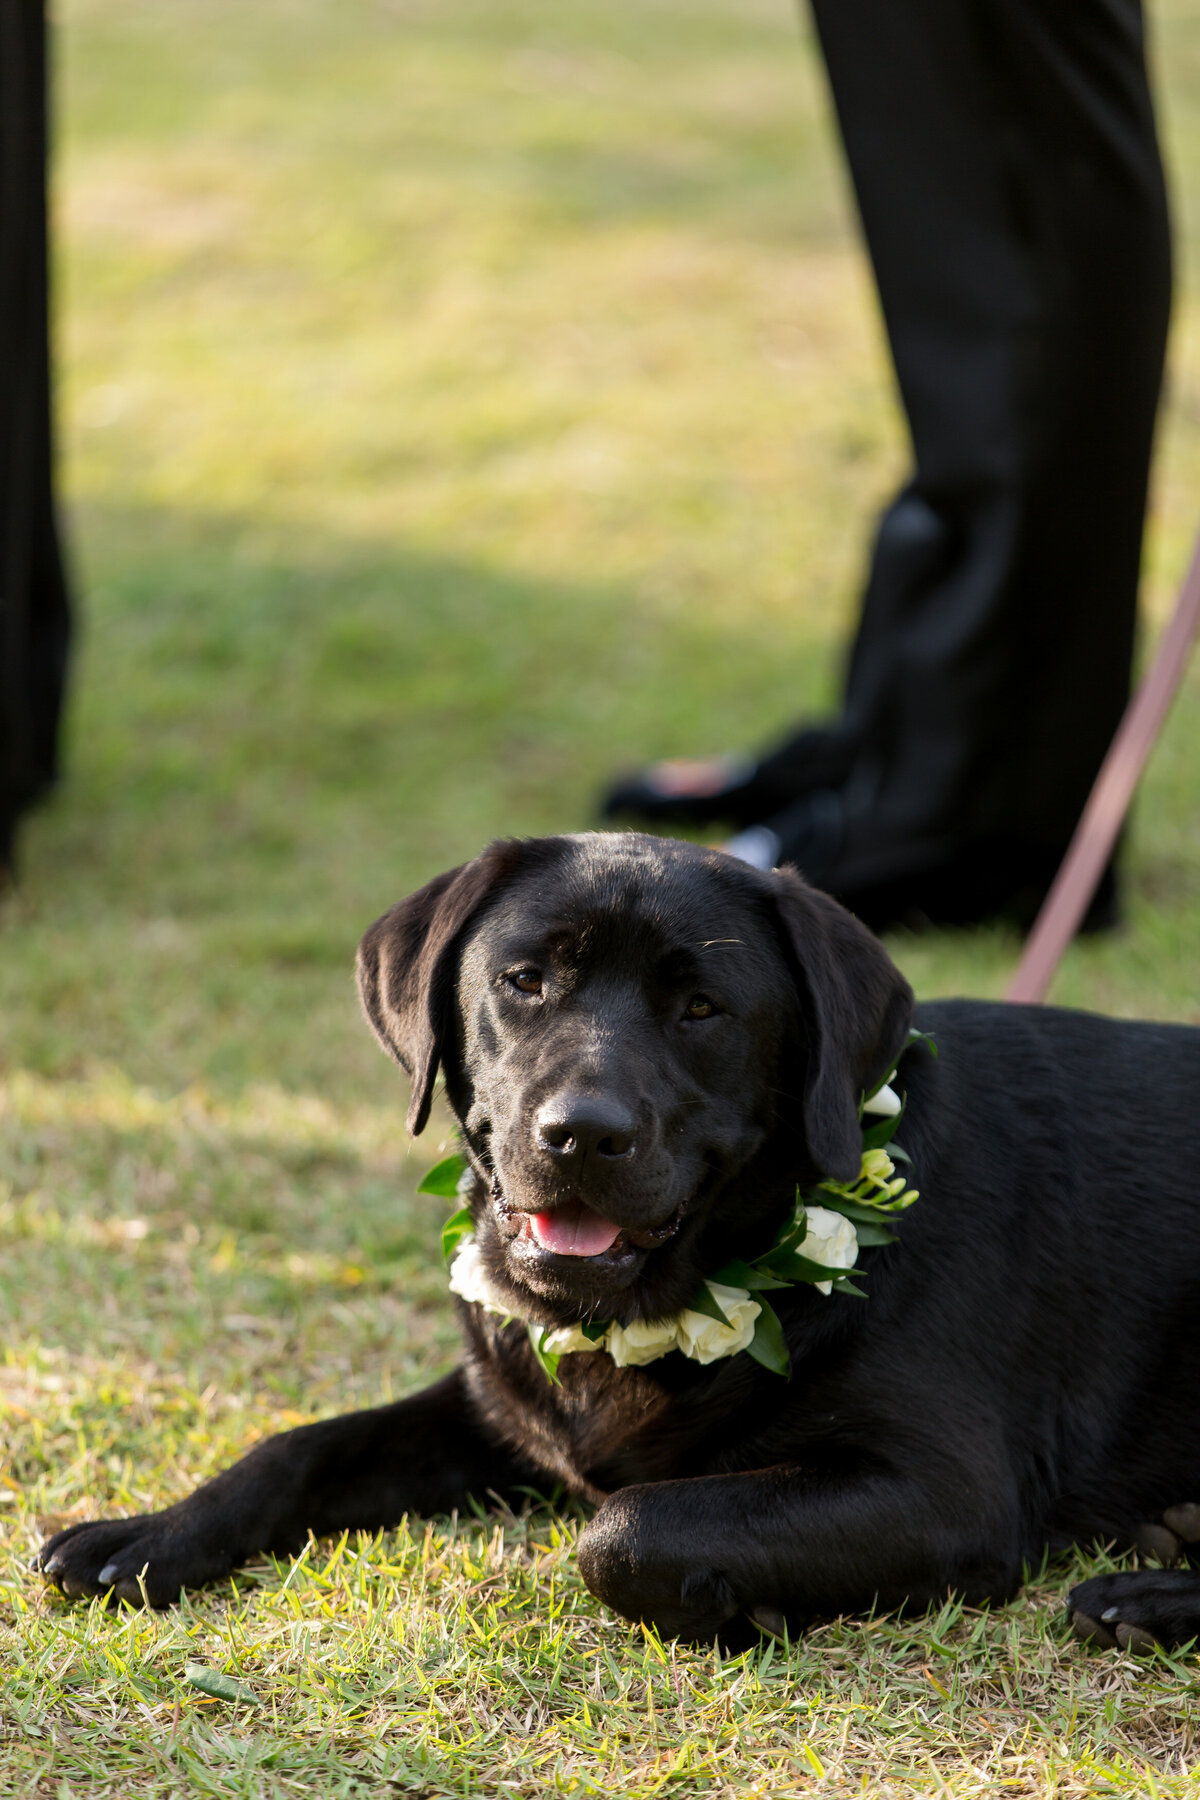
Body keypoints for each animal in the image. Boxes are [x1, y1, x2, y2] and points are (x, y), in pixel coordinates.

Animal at [32, 835, 1200, 1648]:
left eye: (702, 1008)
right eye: (524, 981)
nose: (581, 1134)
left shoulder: (946, 1488)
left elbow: (624, 1528)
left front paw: (737, 1610)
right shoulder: (498, 1404)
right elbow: (302, 1444)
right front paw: (149, 1535)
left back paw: (1148, 1590)